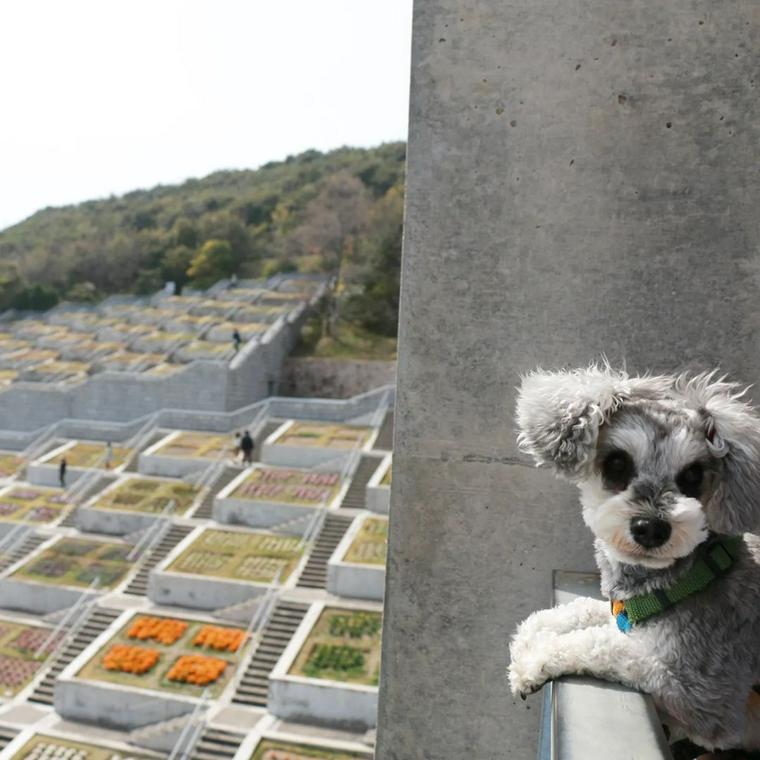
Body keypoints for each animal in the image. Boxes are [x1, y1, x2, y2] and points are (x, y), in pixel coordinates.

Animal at [508, 366, 760, 752]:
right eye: (617, 463)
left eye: (693, 475)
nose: (652, 528)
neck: (691, 576)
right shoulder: (627, 611)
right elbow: (581, 610)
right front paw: (530, 633)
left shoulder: (702, 693)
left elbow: (604, 646)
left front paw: (535, 659)